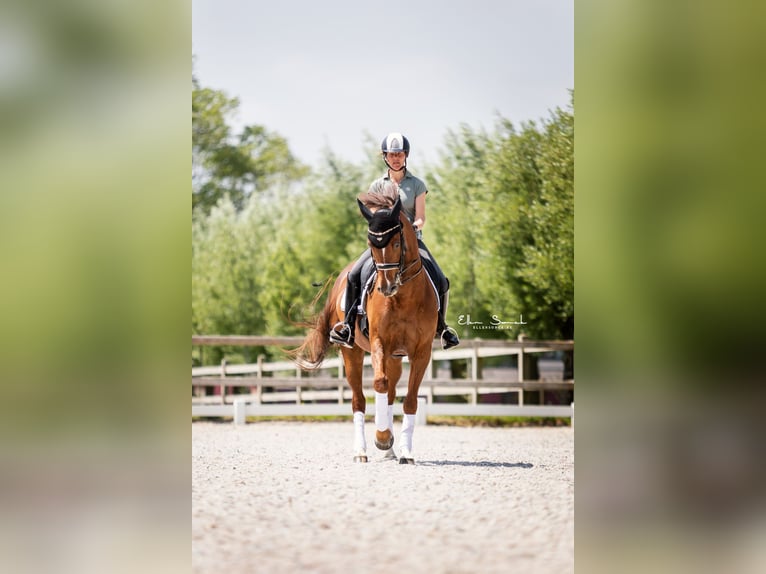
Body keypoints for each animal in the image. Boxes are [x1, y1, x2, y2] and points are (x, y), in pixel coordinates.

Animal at [290, 183, 439, 464]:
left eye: (396, 242)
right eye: (371, 243)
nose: (386, 287)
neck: (403, 297)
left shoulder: (421, 351)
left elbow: (410, 399)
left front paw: (404, 451)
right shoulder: (379, 341)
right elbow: (379, 383)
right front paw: (381, 438)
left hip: (395, 357)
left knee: (391, 393)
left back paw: (391, 449)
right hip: (352, 352)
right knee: (359, 400)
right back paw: (362, 450)